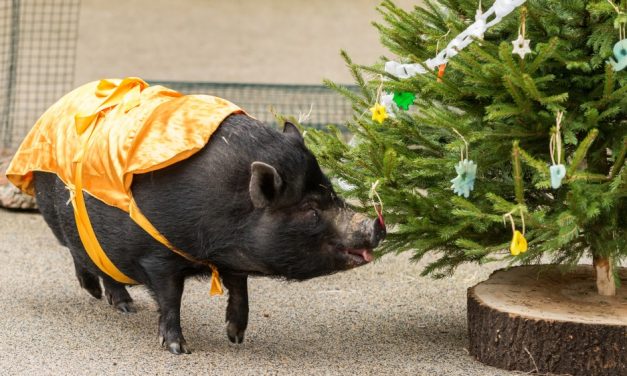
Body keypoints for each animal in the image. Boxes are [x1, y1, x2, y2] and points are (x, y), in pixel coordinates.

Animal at [7, 78, 386, 354]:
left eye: (332, 192)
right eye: (310, 210)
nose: (377, 225)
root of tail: (53, 108)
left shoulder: (232, 258)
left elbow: (240, 286)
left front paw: (236, 338)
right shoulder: (156, 257)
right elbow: (170, 298)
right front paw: (179, 349)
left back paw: (123, 305)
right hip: (63, 218)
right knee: (80, 254)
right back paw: (113, 302)